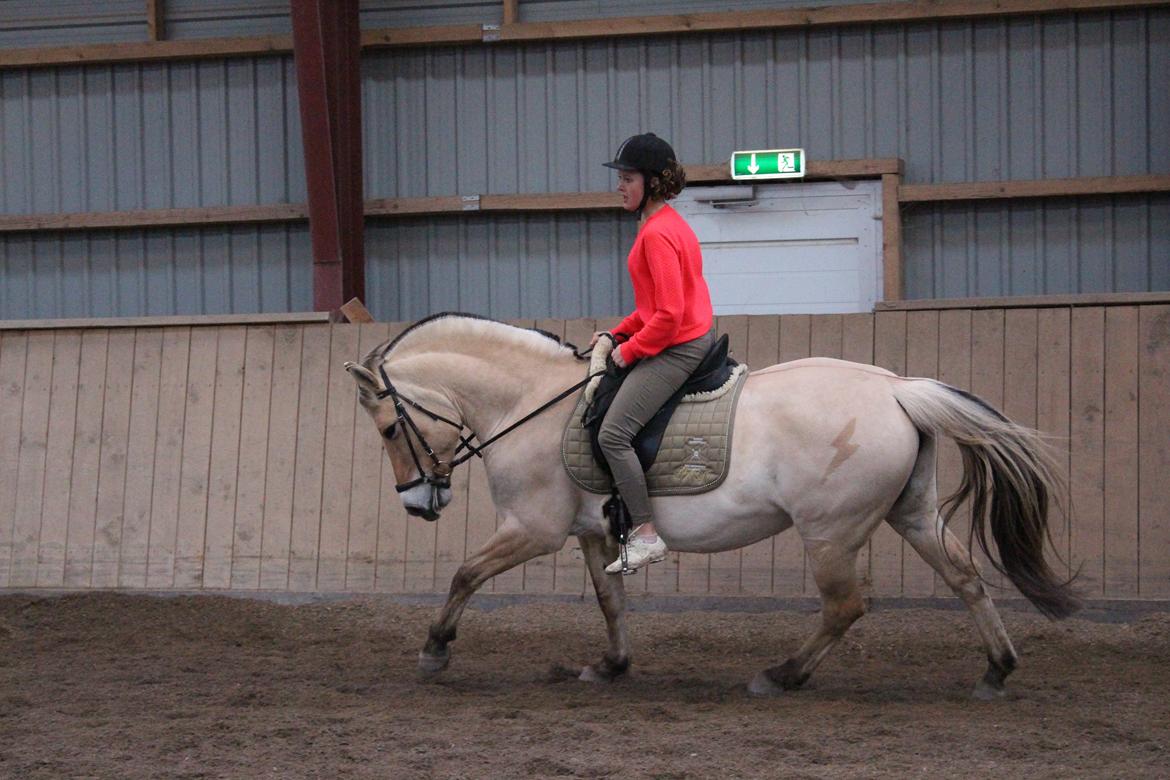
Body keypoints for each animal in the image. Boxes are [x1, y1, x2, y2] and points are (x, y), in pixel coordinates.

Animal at [344, 312, 1079, 699]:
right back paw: (996, 668)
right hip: (913, 514)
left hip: (830, 532)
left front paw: (435, 651)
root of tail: (897, 388)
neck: (529, 403)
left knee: (845, 606)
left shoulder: (533, 528)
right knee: (965, 577)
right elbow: (611, 601)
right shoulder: (591, 532)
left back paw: (782, 674)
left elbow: (465, 574)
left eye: (388, 430)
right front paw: (610, 665)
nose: (420, 501)